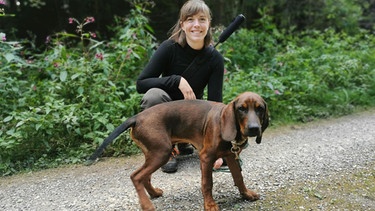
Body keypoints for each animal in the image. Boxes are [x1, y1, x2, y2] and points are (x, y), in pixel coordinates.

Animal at [86, 92, 270, 211]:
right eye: (241, 109)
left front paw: (246, 194)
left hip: (153, 152)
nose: (254, 129)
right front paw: (210, 205)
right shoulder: (206, 157)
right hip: (162, 152)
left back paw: (153, 193)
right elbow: (207, 183)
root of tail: (137, 117)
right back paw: (147, 206)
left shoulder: (231, 155)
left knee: (144, 176)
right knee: (136, 176)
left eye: (260, 108)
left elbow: (239, 177)